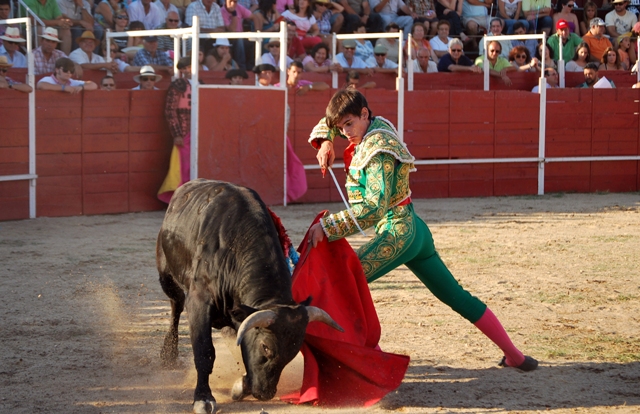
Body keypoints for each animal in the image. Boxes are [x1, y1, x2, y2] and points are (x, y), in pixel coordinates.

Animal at [157, 179, 342, 414]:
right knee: (176, 305)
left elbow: (241, 345)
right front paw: (203, 398)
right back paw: (168, 355)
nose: (264, 394)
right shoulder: (199, 301)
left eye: (294, 351)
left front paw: (240, 386)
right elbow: (204, 351)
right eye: (265, 347)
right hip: (167, 276)